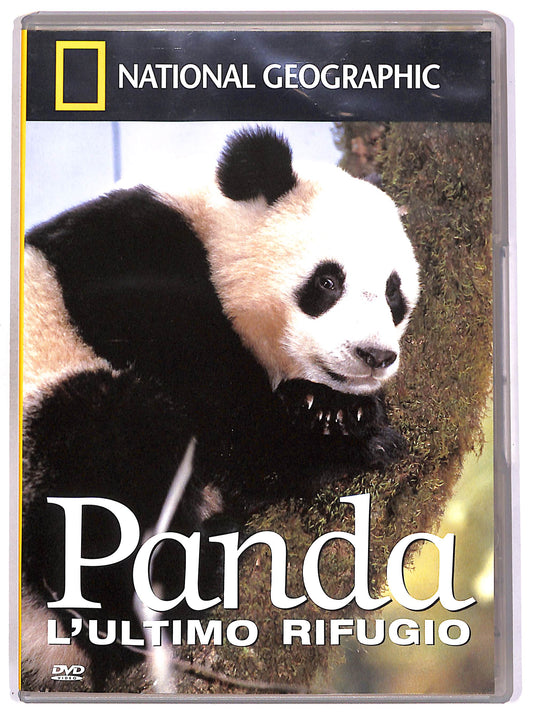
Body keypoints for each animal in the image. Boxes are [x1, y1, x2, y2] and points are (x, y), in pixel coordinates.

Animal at [20, 126, 419, 690]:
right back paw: (183, 579)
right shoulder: (132, 269)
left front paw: (333, 408)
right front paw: (342, 434)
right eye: (327, 282)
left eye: (393, 293)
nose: (374, 356)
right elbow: (221, 417)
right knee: (108, 447)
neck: (211, 230)